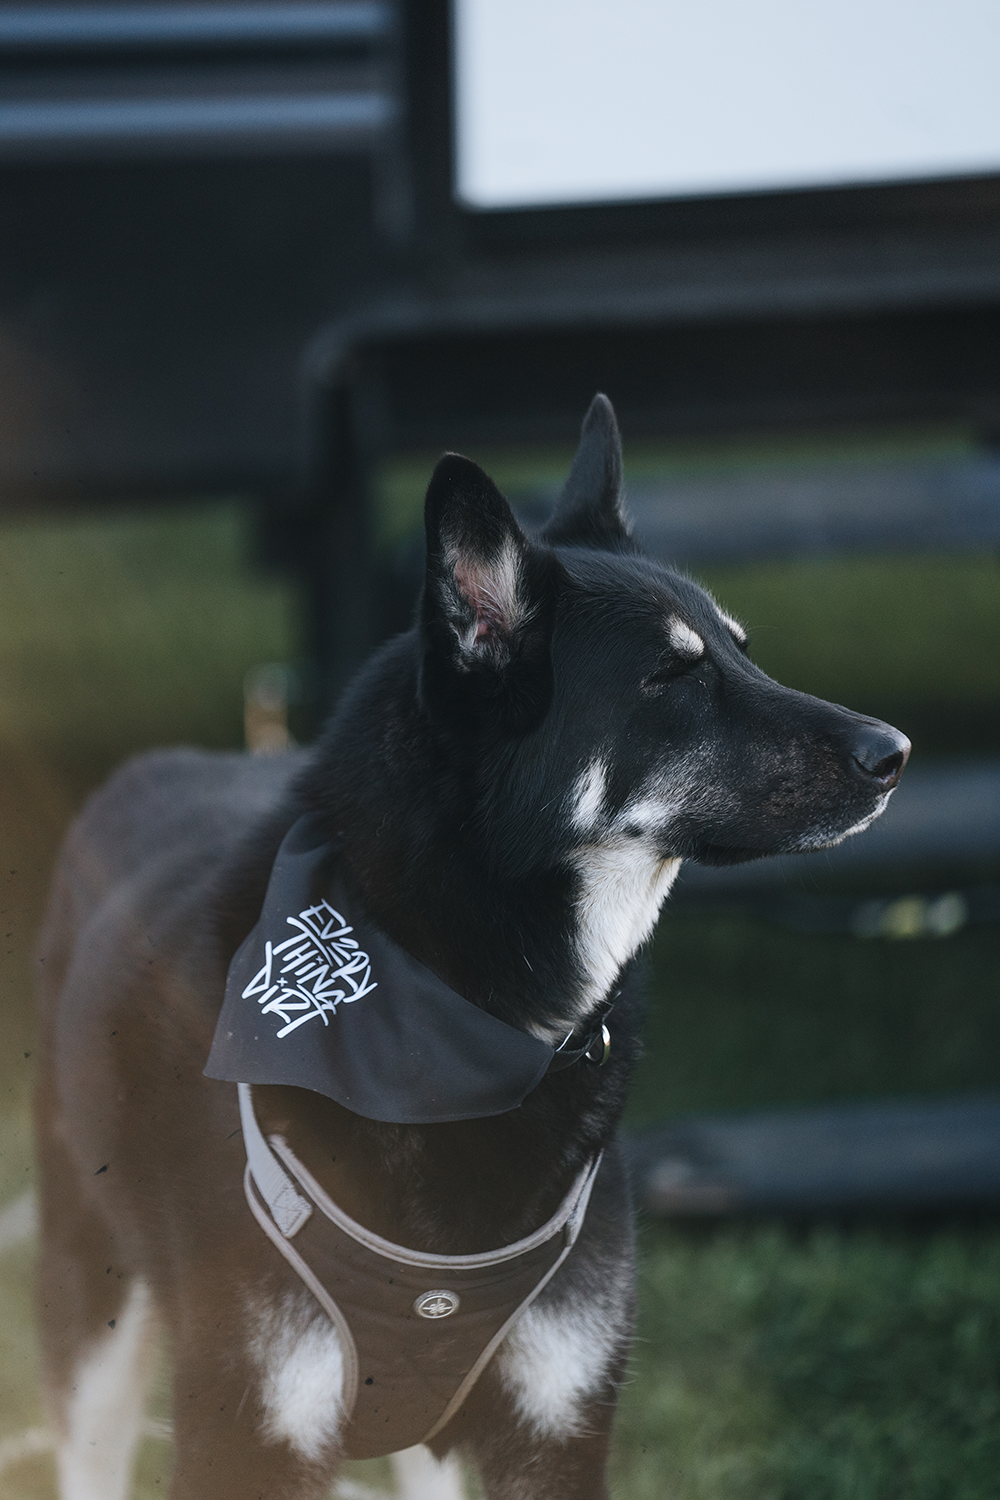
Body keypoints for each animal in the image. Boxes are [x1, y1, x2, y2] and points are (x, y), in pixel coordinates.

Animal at [35, 393, 911, 1494]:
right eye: (673, 675)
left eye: (741, 649)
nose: (896, 753)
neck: (459, 998)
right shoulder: (250, 1429)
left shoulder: (552, 1421)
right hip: (94, 1320)